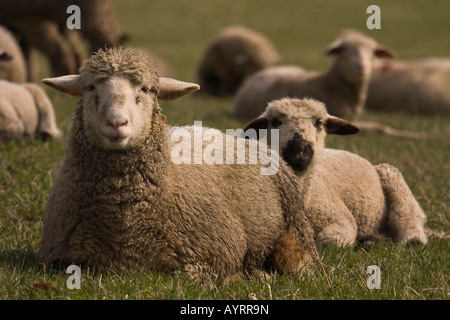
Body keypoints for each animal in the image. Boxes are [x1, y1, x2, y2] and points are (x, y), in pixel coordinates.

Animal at [38, 46, 320, 282]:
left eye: (147, 89)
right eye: (90, 88)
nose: (117, 123)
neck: (125, 226)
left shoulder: (217, 252)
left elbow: (189, 276)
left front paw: (240, 277)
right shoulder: (59, 261)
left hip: (297, 227)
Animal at [244, 99, 430, 246]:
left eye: (319, 122)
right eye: (275, 121)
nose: (299, 147)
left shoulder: (341, 218)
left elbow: (330, 243)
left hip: (393, 179)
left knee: (409, 217)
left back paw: (410, 240)